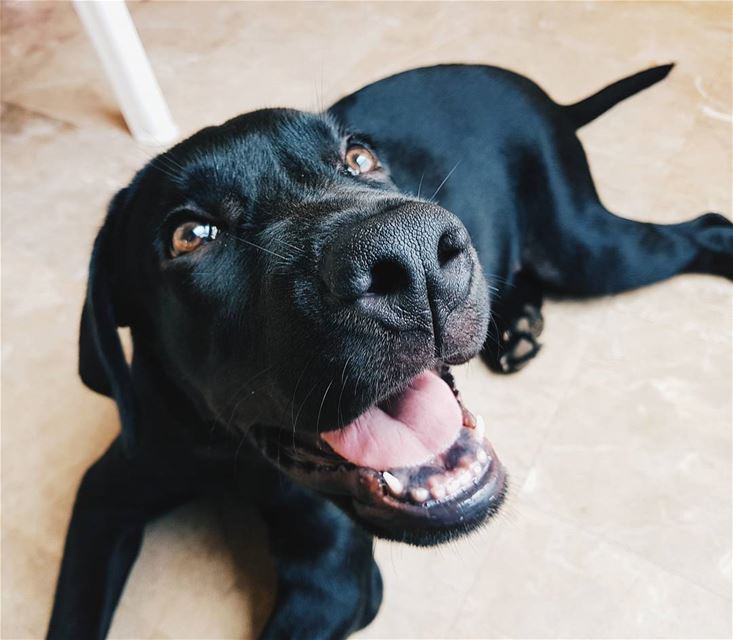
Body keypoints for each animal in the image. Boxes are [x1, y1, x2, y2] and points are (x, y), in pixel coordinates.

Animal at [48, 62, 728, 636]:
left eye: (360, 157)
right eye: (190, 234)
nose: (413, 254)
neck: (228, 452)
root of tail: (542, 94)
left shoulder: (330, 582)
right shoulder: (108, 489)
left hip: (588, 249)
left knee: (704, 228)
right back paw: (517, 324)